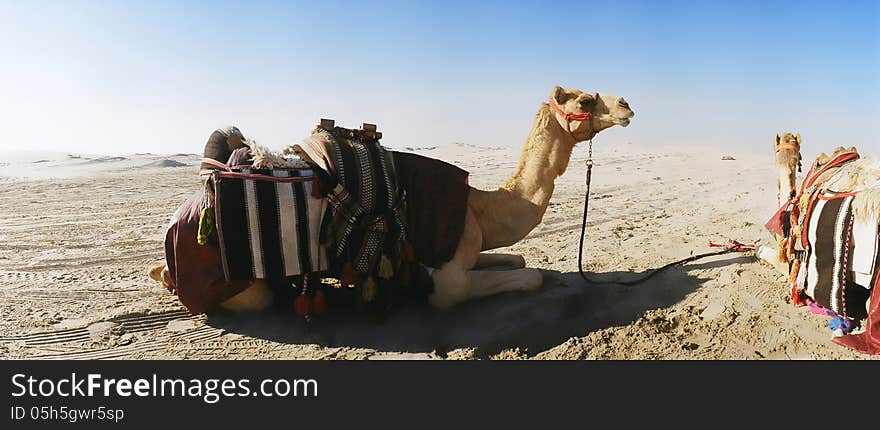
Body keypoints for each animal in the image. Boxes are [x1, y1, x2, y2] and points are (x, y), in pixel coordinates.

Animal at [150, 85, 632, 310]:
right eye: (586, 100)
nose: (627, 104)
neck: (479, 207)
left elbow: (516, 258)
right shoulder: (448, 280)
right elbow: (529, 277)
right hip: (240, 286)